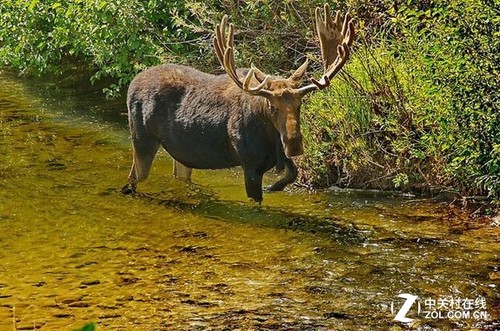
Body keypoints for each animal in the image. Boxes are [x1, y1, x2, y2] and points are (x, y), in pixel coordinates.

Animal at [121, 4, 356, 202]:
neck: (271, 138)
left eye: (300, 104)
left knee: (178, 175)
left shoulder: (278, 157)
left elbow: (293, 173)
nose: (294, 143)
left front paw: (275, 187)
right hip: (142, 139)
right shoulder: (250, 164)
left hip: (180, 152)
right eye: (272, 107)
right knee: (133, 176)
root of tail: (131, 84)